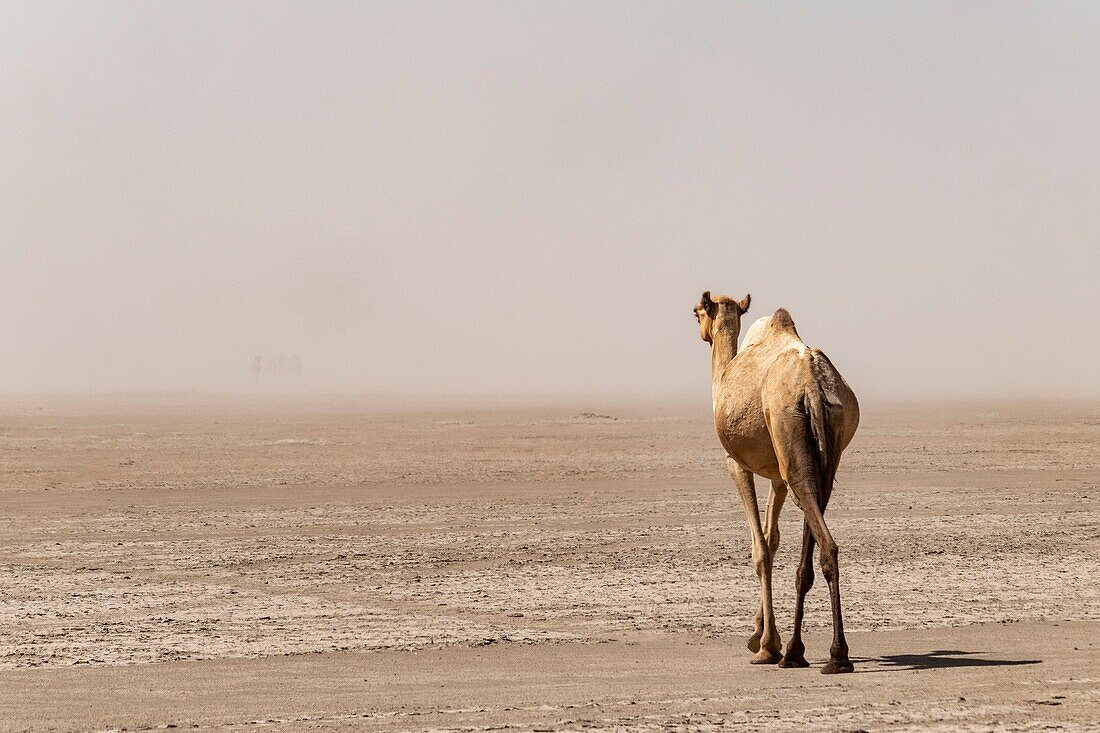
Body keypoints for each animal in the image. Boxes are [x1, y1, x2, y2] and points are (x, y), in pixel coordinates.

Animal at [690, 288, 862, 669]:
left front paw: (766, 644)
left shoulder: (737, 464)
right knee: (815, 518)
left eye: (696, 313)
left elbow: (760, 547)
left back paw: (829, 655)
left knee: (824, 539)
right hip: (824, 452)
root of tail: (812, 384)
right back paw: (802, 650)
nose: (699, 330)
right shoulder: (776, 475)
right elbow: (773, 538)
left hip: (789, 436)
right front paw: (763, 635)